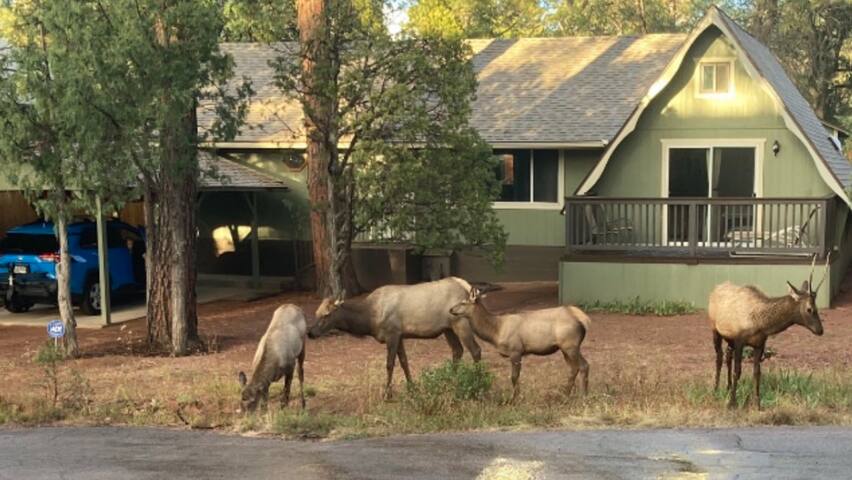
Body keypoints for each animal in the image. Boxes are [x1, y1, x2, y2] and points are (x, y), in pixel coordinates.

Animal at [308, 276, 482, 400]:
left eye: (327, 314)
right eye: (316, 312)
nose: (310, 332)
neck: (370, 318)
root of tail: (467, 287)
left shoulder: (392, 333)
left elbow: (389, 364)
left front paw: (387, 394)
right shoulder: (400, 335)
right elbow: (404, 362)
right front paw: (412, 388)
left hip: (461, 322)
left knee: (475, 350)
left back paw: (478, 381)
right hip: (448, 328)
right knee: (457, 350)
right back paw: (451, 380)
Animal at [446, 288, 592, 402]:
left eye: (463, 302)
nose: (450, 309)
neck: (495, 332)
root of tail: (583, 319)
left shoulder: (515, 350)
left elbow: (514, 377)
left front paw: (514, 399)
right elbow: (516, 376)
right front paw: (516, 397)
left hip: (570, 345)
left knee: (584, 365)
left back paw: (583, 396)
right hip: (564, 348)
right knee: (573, 369)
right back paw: (565, 395)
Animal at [708, 255, 828, 408]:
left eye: (816, 307)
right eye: (809, 309)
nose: (820, 330)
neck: (760, 324)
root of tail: (714, 289)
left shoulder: (760, 343)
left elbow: (757, 372)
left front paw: (757, 404)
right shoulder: (739, 340)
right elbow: (738, 371)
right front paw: (732, 404)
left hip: (729, 338)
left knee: (727, 356)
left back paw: (728, 388)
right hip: (714, 329)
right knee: (719, 357)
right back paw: (715, 389)